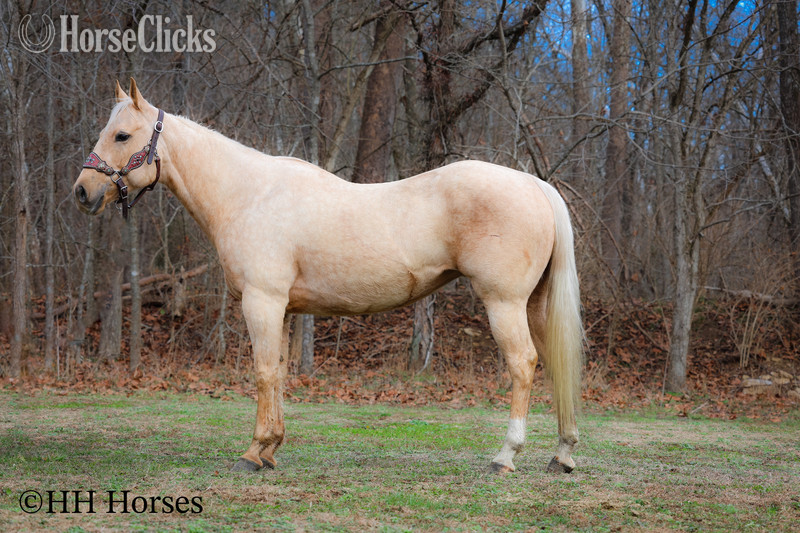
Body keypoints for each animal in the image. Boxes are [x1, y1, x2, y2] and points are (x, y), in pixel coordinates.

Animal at [73, 79, 583, 474]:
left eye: (122, 134)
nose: (82, 191)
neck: (247, 194)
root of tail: (533, 183)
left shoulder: (261, 301)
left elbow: (262, 372)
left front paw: (252, 453)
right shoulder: (281, 308)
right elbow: (279, 372)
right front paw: (271, 450)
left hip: (503, 303)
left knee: (523, 365)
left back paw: (505, 456)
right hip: (534, 305)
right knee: (555, 362)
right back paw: (562, 455)